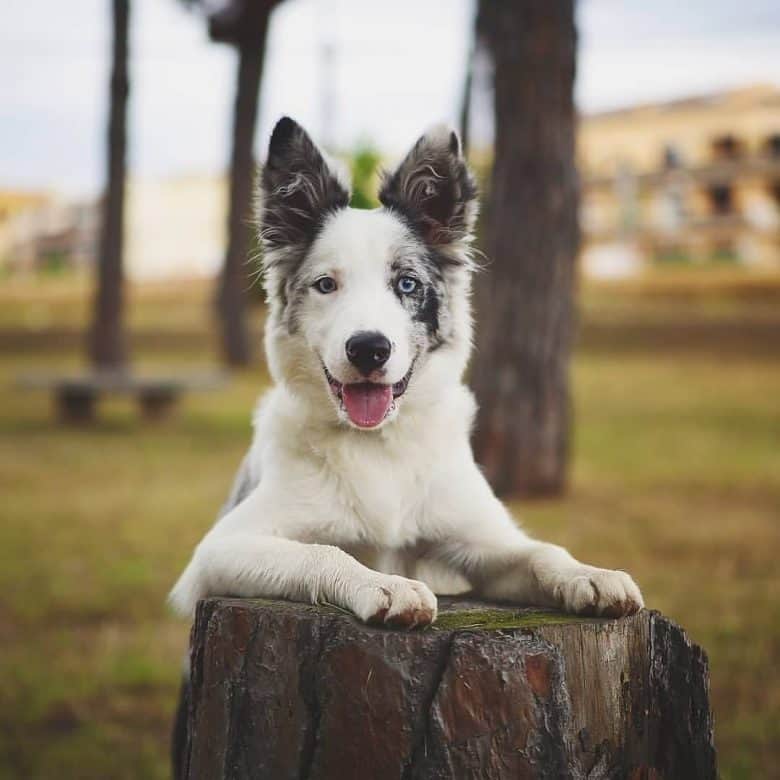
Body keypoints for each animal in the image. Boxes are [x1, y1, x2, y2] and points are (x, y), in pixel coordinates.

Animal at [169, 119, 640, 632]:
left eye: (407, 283)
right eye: (326, 284)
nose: (368, 349)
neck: (377, 446)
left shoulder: (483, 540)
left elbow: (541, 551)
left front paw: (591, 575)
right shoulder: (218, 550)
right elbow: (325, 551)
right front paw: (386, 585)